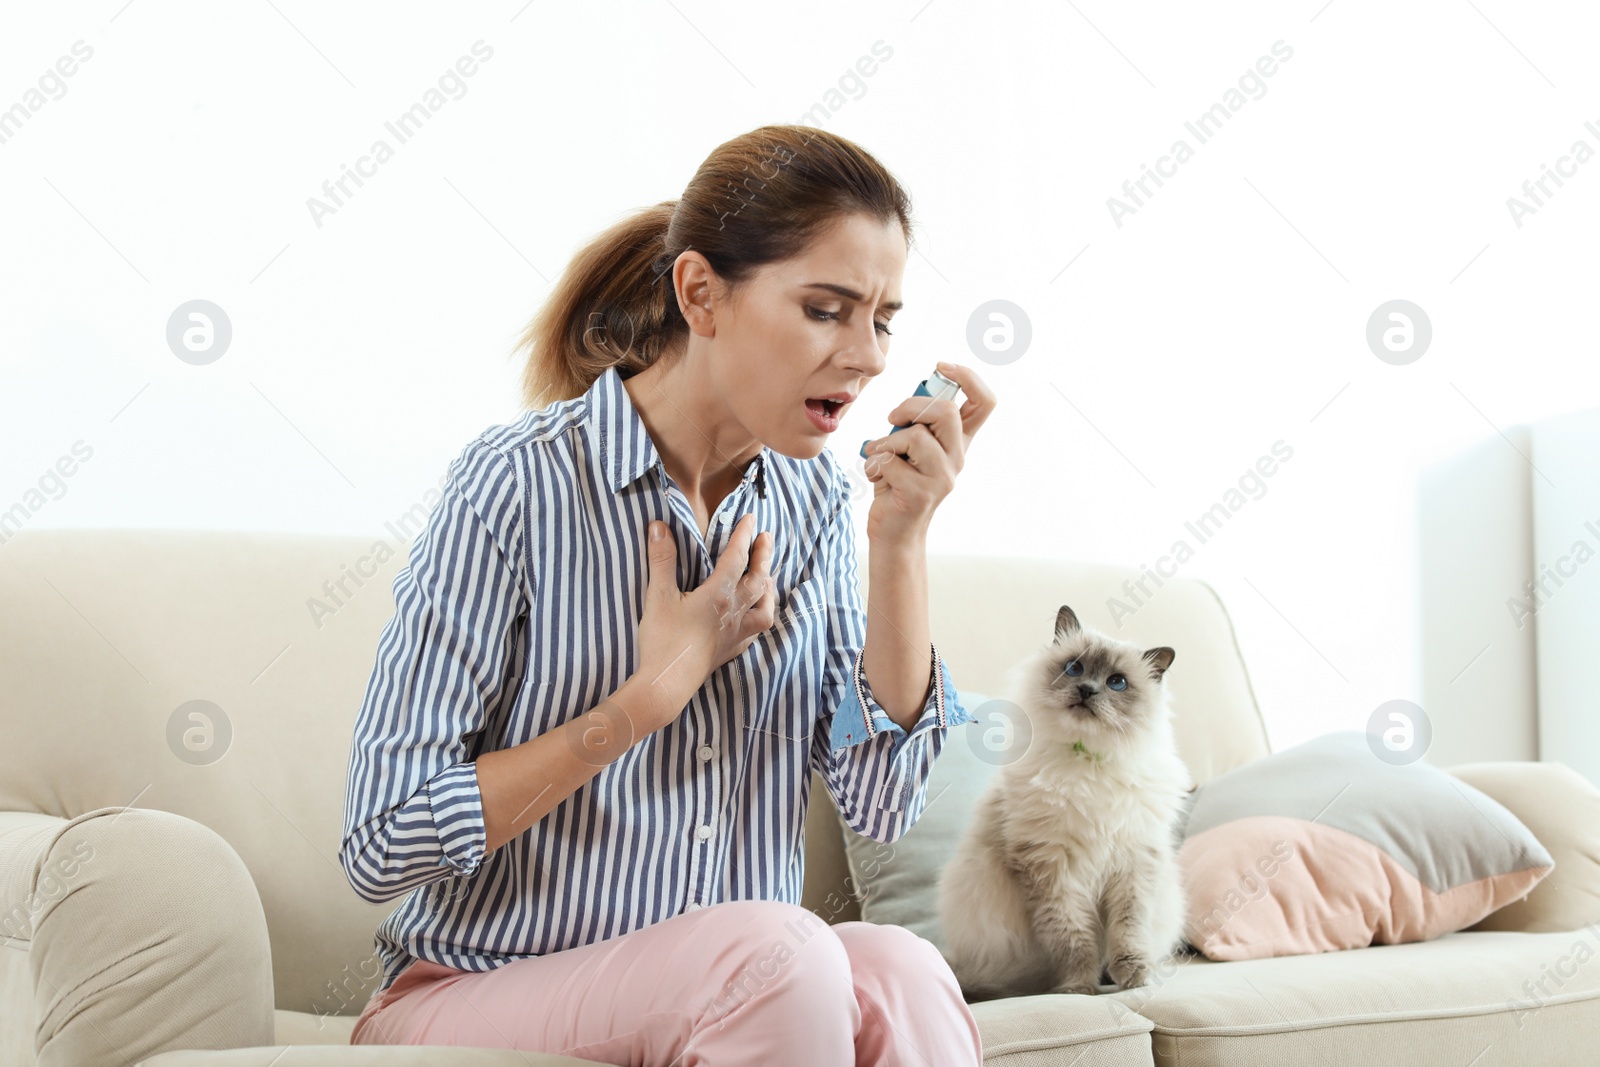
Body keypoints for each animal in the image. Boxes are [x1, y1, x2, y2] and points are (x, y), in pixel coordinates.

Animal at [934, 607, 1190, 1004]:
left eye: (1117, 682)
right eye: (1074, 668)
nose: (1087, 690)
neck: (1088, 763)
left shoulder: (1132, 867)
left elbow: (1128, 934)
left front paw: (1135, 980)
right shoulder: (1052, 868)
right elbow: (1073, 941)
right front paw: (1078, 989)